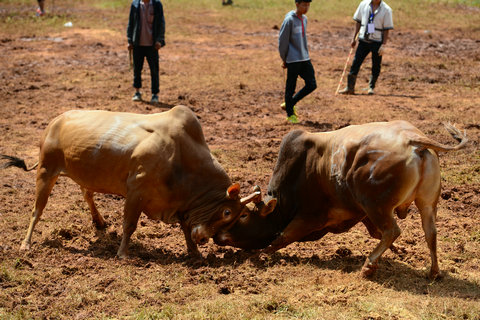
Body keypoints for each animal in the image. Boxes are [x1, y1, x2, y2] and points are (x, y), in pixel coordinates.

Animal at [2, 106, 258, 258]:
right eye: (227, 212)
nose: (205, 238)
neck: (181, 156)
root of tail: (56, 121)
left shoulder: (181, 205)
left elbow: (186, 228)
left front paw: (195, 254)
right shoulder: (136, 190)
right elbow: (129, 225)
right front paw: (123, 254)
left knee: (87, 193)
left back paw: (99, 222)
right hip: (46, 171)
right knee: (37, 210)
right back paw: (26, 244)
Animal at [216, 121, 466, 278]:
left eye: (244, 215)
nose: (217, 236)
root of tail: (413, 140)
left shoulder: (311, 217)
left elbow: (282, 237)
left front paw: (258, 254)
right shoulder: (361, 213)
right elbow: (375, 233)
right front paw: (402, 251)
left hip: (377, 205)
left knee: (392, 230)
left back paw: (368, 266)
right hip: (426, 204)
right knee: (430, 233)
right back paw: (434, 272)